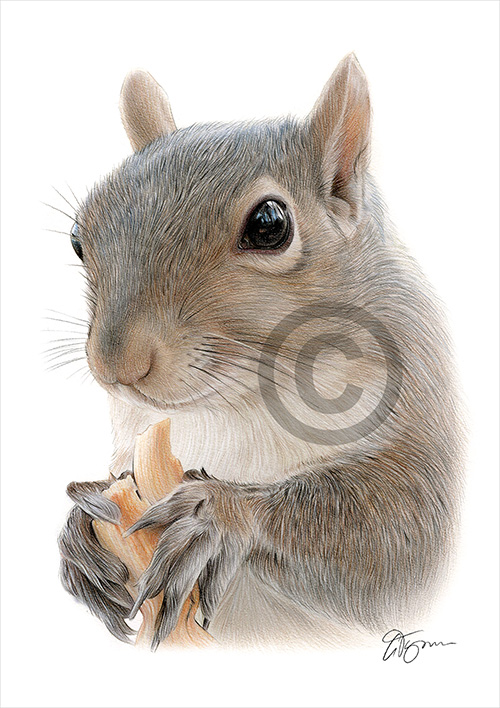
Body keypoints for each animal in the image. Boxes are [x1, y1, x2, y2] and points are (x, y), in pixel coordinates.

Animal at [58, 54, 463, 650]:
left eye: (270, 225)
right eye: (78, 236)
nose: (117, 364)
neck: (237, 405)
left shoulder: (423, 419)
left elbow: (404, 534)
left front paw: (221, 514)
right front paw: (79, 532)